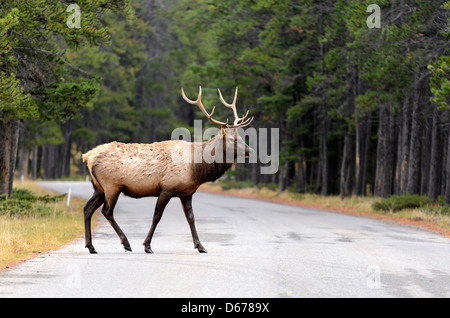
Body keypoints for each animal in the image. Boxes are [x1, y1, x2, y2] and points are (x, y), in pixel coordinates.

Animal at [82, 86, 255, 253]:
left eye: (241, 137)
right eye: (232, 139)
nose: (251, 151)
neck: (195, 169)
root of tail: (88, 157)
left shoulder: (187, 193)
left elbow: (191, 218)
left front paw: (200, 246)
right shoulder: (167, 187)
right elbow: (157, 216)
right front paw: (147, 245)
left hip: (99, 188)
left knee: (87, 209)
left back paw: (91, 246)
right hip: (112, 185)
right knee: (107, 211)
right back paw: (126, 243)